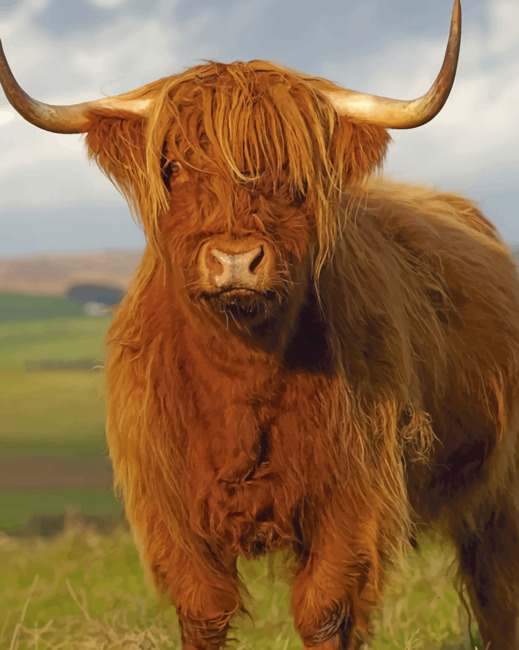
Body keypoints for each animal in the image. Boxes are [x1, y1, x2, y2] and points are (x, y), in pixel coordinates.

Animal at [2, 1, 519, 648]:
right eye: (173, 167)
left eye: (291, 173)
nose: (235, 260)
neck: (240, 379)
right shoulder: (172, 517)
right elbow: (204, 614)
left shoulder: (352, 502)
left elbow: (326, 613)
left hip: (501, 497)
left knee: (497, 592)